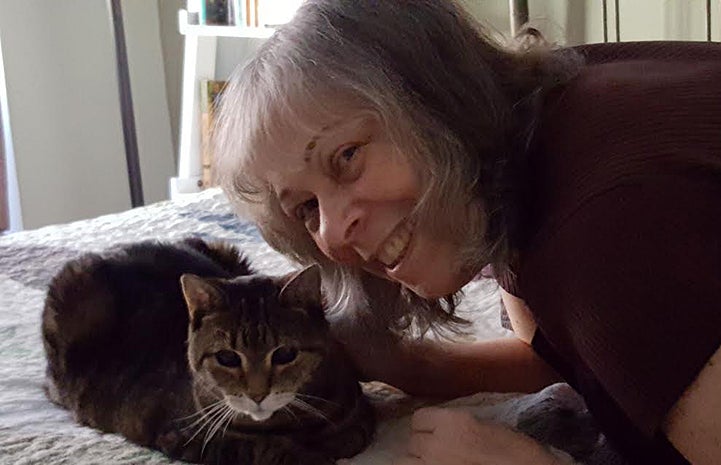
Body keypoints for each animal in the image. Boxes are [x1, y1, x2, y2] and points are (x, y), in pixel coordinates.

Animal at [41, 237, 374, 462]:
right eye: (227, 357)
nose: (258, 394)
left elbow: (354, 432)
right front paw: (307, 454)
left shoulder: (355, 411)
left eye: (284, 354)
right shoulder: (184, 437)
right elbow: (261, 449)